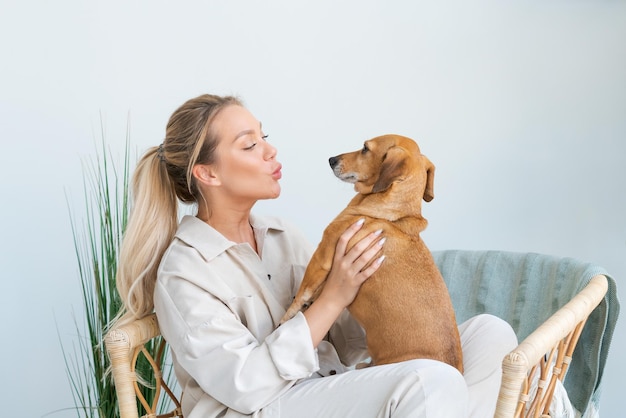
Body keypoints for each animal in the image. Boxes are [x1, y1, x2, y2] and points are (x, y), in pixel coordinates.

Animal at [280, 135, 460, 372]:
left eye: (365, 148)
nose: (331, 159)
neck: (391, 216)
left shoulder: (321, 257)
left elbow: (304, 290)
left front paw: (287, 317)